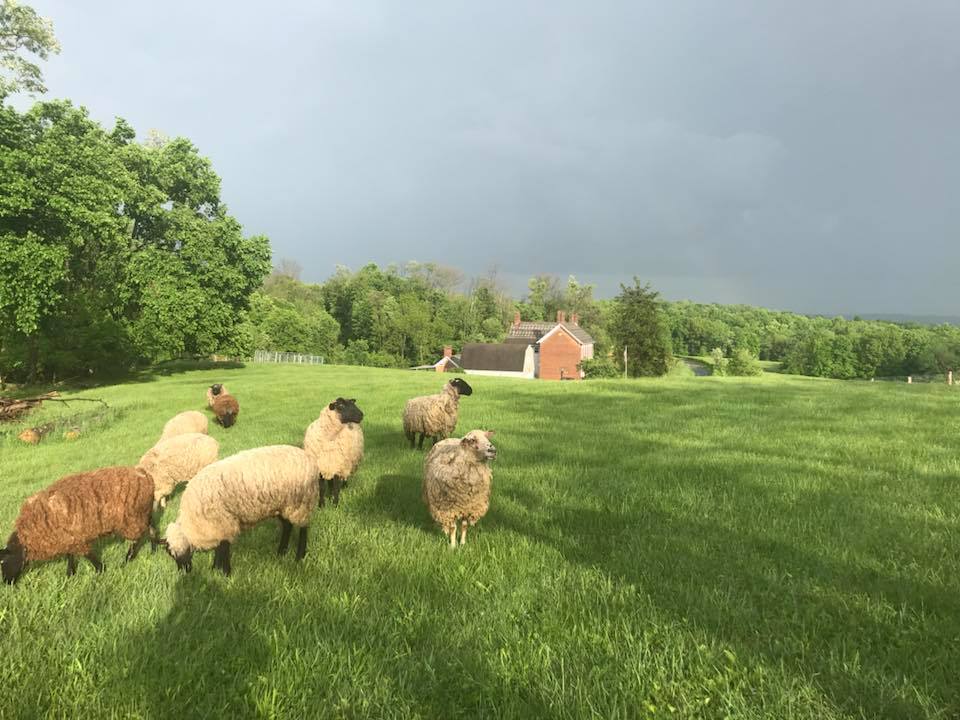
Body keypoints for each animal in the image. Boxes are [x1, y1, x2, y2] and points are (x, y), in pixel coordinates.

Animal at [0, 466, 158, 584]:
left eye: (2, 562)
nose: (7, 583)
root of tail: (146, 475)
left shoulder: (77, 539)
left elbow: (88, 556)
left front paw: (100, 570)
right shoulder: (70, 538)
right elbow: (70, 556)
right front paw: (70, 575)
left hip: (133, 518)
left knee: (139, 536)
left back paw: (128, 558)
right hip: (143, 513)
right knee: (152, 529)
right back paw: (153, 549)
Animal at [161, 444, 318, 572]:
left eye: (173, 553)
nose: (185, 572)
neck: (192, 522)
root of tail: (308, 458)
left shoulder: (223, 522)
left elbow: (223, 548)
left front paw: (225, 572)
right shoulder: (218, 526)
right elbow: (220, 548)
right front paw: (215, 569)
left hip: (301, 502)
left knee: (303, 528)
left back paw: (299, 556)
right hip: (284, 505)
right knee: (287, 526)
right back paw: (281, 552)